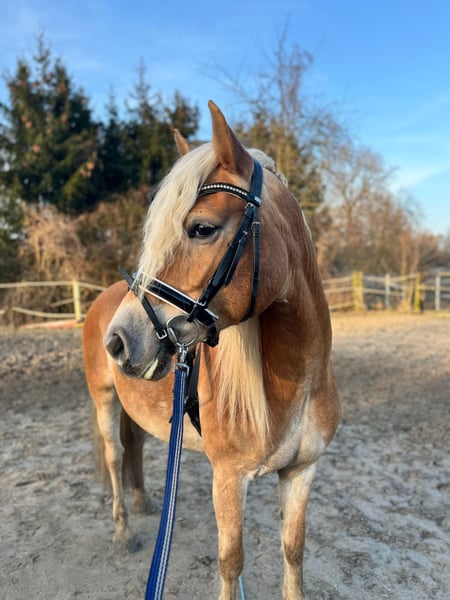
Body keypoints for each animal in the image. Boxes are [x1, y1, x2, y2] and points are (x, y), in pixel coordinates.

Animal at [82, 100, 340, 600]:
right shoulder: (229, 479)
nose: (118, 341)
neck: (296, 382)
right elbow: (231, 562)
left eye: (201, 228)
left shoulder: (302, 472)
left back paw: (145, 503)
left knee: (134, 443)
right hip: (104, 400)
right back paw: (123, 530)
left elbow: (293, 552)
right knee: (115, 453)